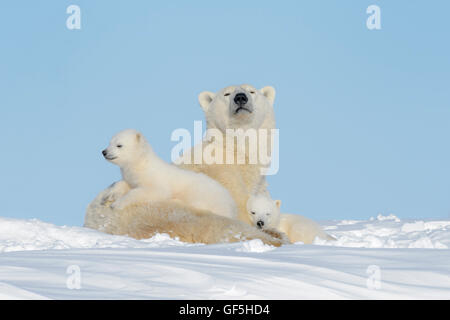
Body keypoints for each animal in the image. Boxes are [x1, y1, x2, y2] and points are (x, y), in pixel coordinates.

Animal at [100, 129, 237, 219]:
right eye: (109, 142)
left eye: (119, 145)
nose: (104, 152)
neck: (142, 164)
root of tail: (231, 203)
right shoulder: (132, 176)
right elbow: (124, 183)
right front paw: (108, 196)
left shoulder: (155, 179)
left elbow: (152, 191)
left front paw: (116, 204)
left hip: (204, 195)